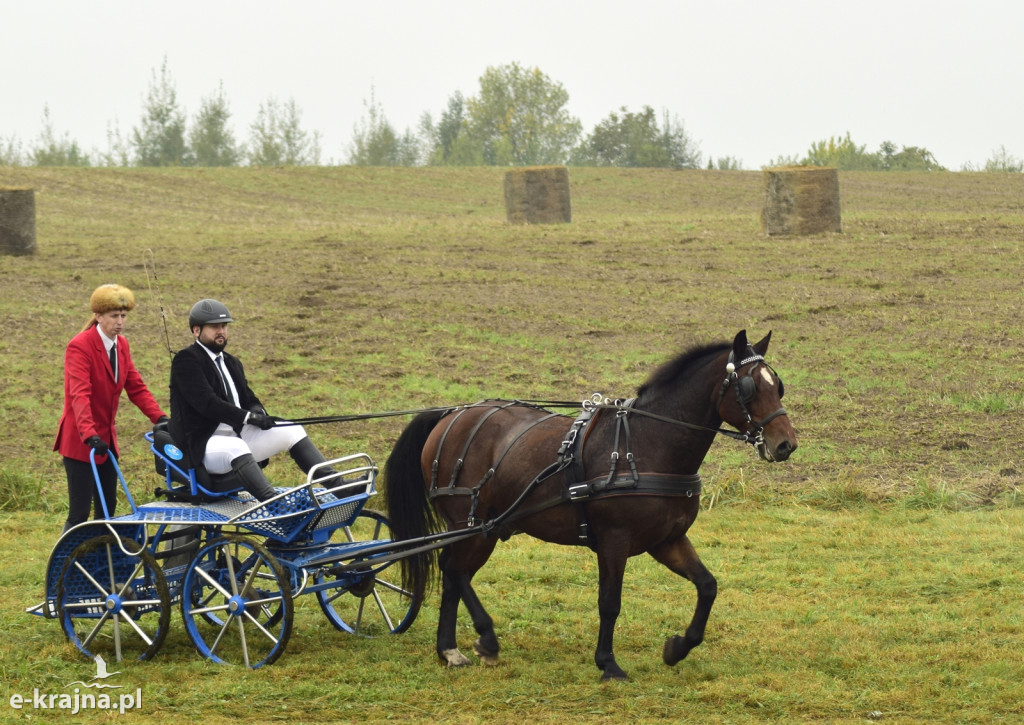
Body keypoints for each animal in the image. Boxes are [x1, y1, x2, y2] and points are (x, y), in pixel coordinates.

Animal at [382, 327, 790, 679]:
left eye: (778, 386)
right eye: (750, 387)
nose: (786, 444)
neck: (648, 443)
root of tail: (452, 415)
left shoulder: (667, 540)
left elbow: (707, 586)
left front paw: (677, 648)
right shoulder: (614, 540)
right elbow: (609, 603)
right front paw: (608, 663)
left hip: (486, 528)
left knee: (453, 574)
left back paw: (449, 650)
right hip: (472, 525)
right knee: (454, 570)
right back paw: (486, 638)